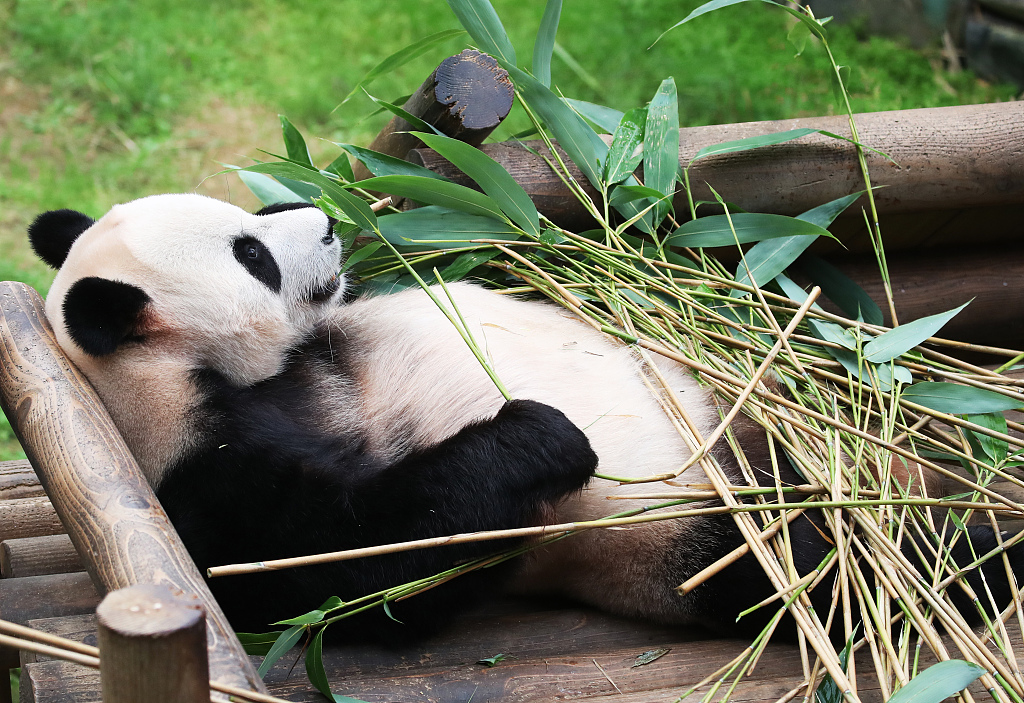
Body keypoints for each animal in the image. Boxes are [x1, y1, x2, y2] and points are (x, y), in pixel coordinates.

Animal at [27, 193, 1024, 642]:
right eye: (251, 255)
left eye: (254, 212)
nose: (326, 222)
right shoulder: (204, 483)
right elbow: (354, 564)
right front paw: (545, 434)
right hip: (668, 532)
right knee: (804, 567)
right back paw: (957, 558)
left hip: (731, 415)